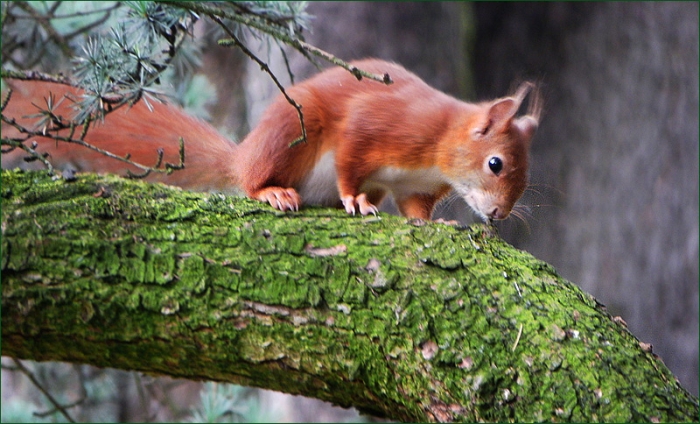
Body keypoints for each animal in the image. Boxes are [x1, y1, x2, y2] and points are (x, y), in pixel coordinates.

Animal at [2, 59, 540, 221]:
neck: (437, 151)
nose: (498, 216)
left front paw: (432, 224)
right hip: (290, 135)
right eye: (495, 164)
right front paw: (355, 201)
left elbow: (414, 210)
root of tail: (242, 155)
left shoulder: (414, 186)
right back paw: (273, 191)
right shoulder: (375, 128)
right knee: (250, 182)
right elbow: (350, 163)